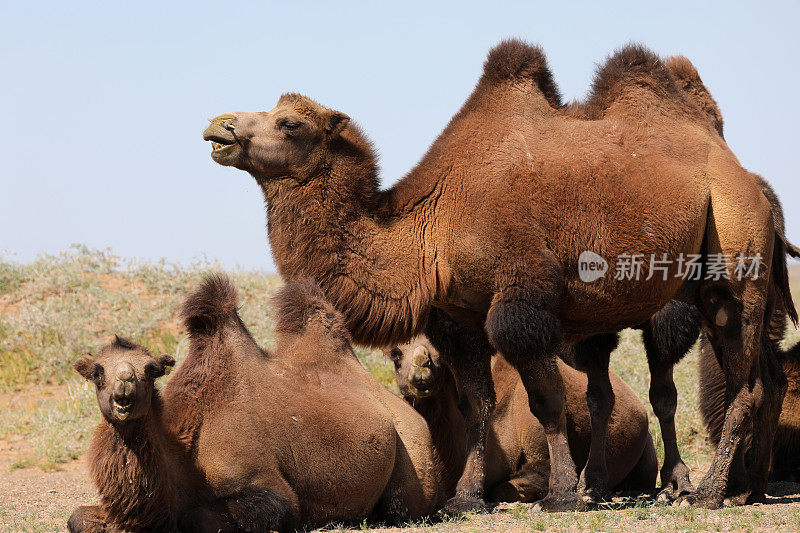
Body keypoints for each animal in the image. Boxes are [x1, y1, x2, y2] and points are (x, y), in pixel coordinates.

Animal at [67, 274, 444, 532]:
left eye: (150, 370)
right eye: (98, 372)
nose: (125, 384)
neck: (185, 455)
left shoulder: (265, 484)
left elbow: (199, 517)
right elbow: (77, 518)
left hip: (414, 456)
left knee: (404, 507)